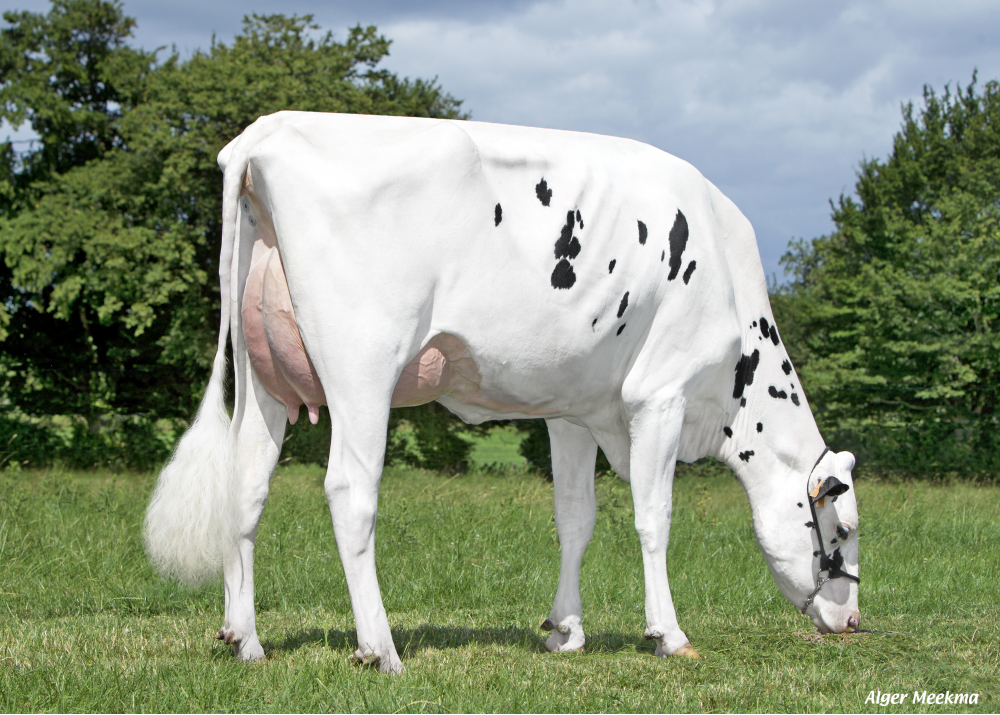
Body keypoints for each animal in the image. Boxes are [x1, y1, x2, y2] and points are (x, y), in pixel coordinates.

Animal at [145, 110, 864, 672]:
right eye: (843, 527)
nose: (854, 621)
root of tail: (265, 132)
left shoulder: (574, 409)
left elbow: (575, 517)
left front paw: (566, 630)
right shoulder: (660, 395)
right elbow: (654, 516)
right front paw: (668, 633)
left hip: (264, 376)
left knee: (246, 486)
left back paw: (246, 640)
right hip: (362, 369)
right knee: (351, 493)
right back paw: (380, 647)